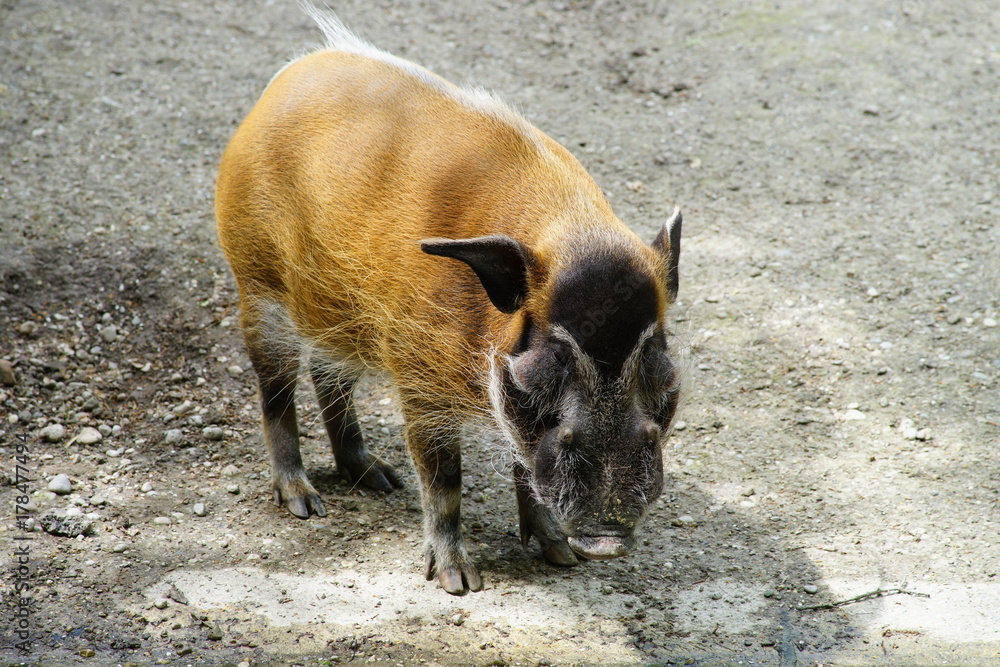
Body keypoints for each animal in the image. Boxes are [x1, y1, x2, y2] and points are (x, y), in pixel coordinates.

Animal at [215, 5, 682, 595]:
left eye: (659, 361)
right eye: (551, 359)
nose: (604, 542)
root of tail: (290, 75)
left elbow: (522, 463)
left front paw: (560, 558)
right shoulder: (420, 381)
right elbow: (443, 479)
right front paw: (460, 582)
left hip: (336, 315)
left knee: (328, 377)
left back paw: (379, 479)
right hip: (257, 288)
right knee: (276, 391)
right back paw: (305, 502)